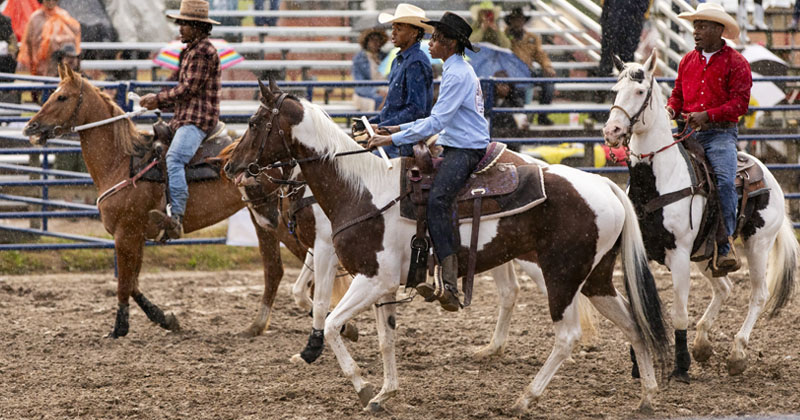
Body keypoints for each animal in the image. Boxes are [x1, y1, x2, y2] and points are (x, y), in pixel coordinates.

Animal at [21, 61, 304, 338]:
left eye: (62, 97)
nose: (30, 127)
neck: (123, 162)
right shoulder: (137, 236)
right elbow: (133, 284)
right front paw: (166, 319)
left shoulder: (125, 234)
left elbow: (124, 285)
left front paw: (119, 328)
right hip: (263, 220)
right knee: (274, 269)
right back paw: (256, 326)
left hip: (282, 224)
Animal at [604, 49, 796, 380]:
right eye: (615, 91)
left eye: (640, 92)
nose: (612, 131)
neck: (656, 180)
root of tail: (767, 173)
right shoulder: (636, 251)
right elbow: (636, 307)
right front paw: (639, 364)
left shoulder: (679, 254)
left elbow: (679, 313)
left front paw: (680, 366)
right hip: (708, 254)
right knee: (724, 287)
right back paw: (703, 343)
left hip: (757, 244)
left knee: (757, 294)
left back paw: (737, 353)